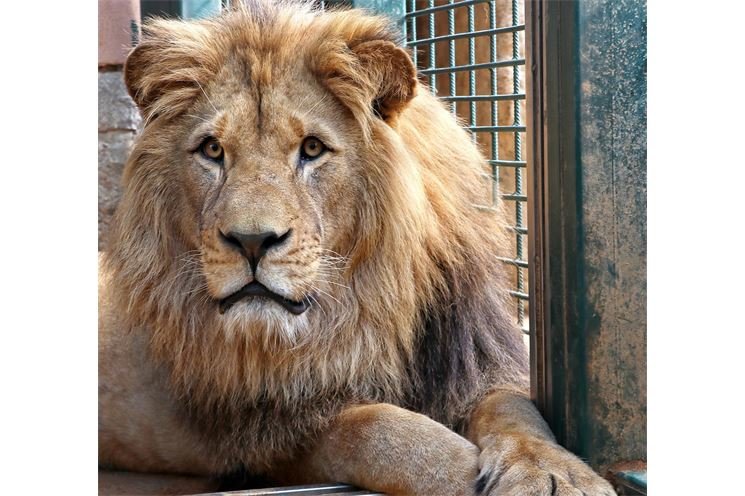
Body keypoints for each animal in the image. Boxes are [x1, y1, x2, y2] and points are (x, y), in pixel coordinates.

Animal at [97, 1, 616, 494]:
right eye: (211, 150)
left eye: (311, 148)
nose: (252, 241)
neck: (360, 315)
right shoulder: (273, 437)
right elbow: (377, 429)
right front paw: (459, 470)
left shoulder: (477, 361)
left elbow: (517, 410)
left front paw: (554, 472)